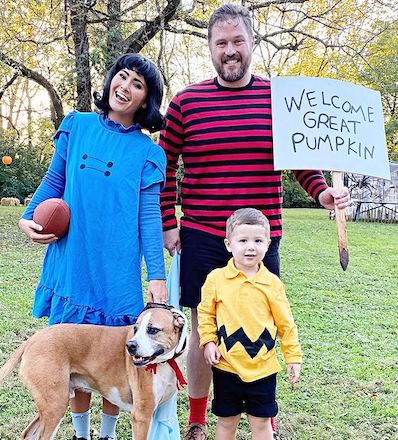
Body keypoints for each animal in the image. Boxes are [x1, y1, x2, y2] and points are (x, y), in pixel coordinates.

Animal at [0, 302, 188, 440]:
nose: (130, 346)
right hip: (55, 405)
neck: (166, 362)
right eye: (135, 328)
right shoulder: (142, 416)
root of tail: (32, 340)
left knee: (28, 433)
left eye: (153, 330)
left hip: (52, 405)